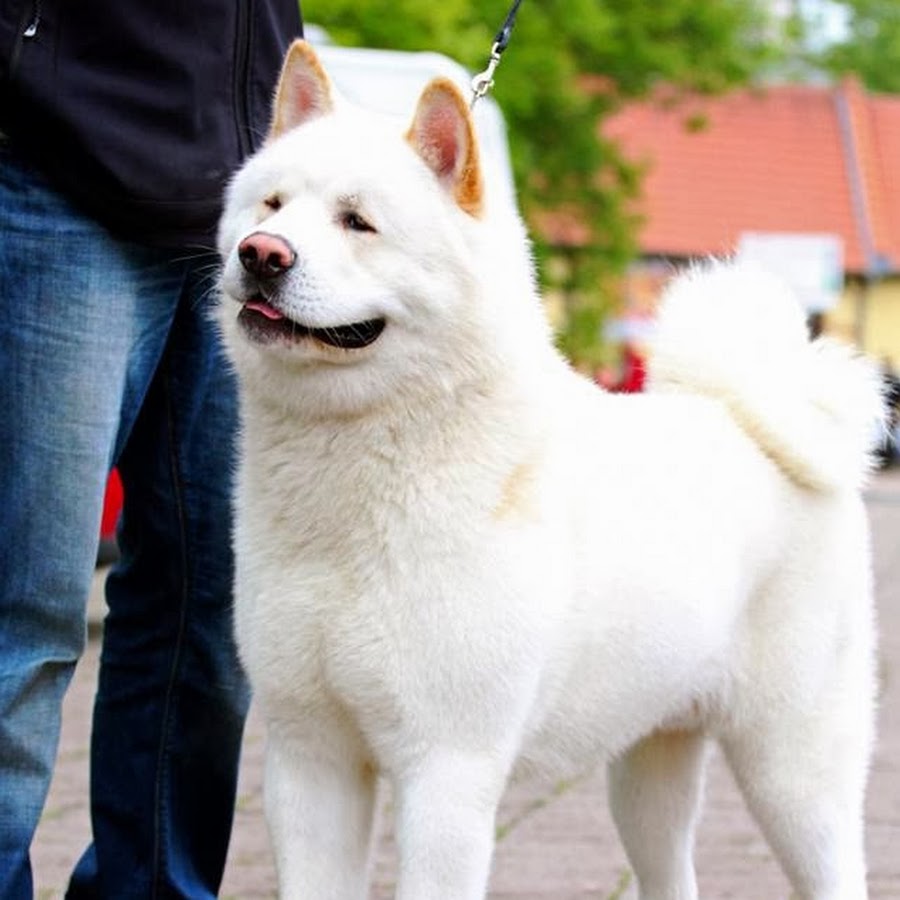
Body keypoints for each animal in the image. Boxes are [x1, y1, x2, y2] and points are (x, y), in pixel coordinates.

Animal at [216, 39, 882, 900]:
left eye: (357, 221)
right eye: (269, 206)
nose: (260, 256)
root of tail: (747, 415)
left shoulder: (448, 770)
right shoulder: (308, 760)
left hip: (793, 772)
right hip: (647, 769)